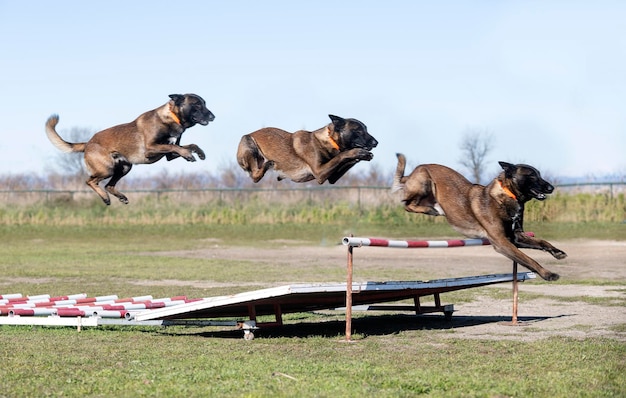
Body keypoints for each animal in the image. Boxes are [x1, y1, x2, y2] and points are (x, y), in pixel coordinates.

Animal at [45, 93, 213, 205]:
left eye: (204, 103)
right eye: (197, 104)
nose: (213, 117)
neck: (172, 117)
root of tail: (88, 143)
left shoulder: (170, 154)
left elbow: (189, 145)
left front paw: (199, 153)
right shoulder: (151, 148)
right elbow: (173, 145)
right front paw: (188, 154)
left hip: (124, 167)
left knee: (109, 185)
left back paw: (120, 197)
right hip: (107, 169)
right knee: (90, 181)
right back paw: (105, 198)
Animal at [236, 114, 378, 184]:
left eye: (366, 129)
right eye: (358, 131)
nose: (376, 142)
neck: (330, 140)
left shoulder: (332, 178)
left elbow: (346, 159)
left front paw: (364, 155)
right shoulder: (320, 172)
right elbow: (342, 155)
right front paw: (359, 152)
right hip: (248, 142)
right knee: (255, 177)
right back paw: (269, 163)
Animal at [392, 152, 568, 280]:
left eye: (539, 174)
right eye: (531, 175)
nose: (551, 187)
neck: (508, 195)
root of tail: (412, 173)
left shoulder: (515, 237)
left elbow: (542, 241)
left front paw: (556, 251)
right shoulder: (501, 242)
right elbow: (528, 259)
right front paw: (548, 274)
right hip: (425, 180)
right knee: (407, 204)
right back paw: (432, 210)